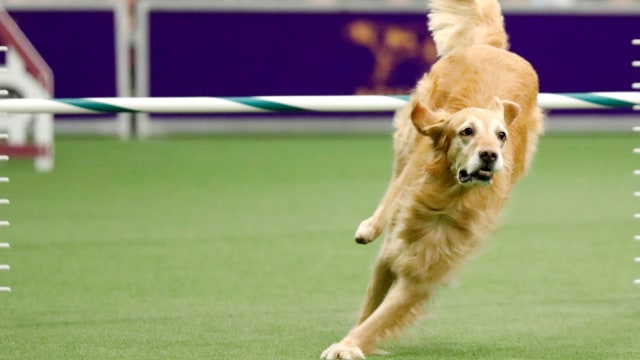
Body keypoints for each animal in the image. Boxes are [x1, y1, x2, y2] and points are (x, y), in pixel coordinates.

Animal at [322, 1, 544, 358]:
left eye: (501, 136)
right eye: (466, 131)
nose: (490, 155)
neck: (446, 201)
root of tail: (495, 49)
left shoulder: (425, 273)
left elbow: (380, 317)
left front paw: (351, 344)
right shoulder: (392, 251)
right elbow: (371, 307)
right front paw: (350, 340)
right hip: (413, 133)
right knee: (395, 183)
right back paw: (369, 226)